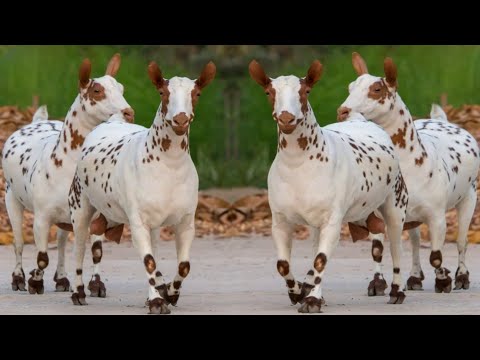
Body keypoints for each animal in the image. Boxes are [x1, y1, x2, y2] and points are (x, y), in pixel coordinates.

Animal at [1, 54, 134, 296]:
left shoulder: (96, 214)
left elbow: (96, 251)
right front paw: (35, 282)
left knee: (62, 243)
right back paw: (19, 277)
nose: (128, 113)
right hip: (11, 198)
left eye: (121, 88)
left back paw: (62, 278)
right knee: (19, 242)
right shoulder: (41, 217)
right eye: (97, 91)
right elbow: (42, 257)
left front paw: (96, 284)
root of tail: (37, 122)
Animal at [69, 60, 216, 314]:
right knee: (79, 246)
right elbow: (148, 262)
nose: (180, 120)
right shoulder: (138, 223)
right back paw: (78, 292)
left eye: (196, 94)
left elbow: (183, 265)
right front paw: (157, 301)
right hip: (80, 206)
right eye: (163, 93)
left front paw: (170, 294)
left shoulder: (186, 222)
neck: (168, 165)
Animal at [248, 59, 408, 312]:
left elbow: (321, 260)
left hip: (395, 202)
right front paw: (298, 292)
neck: (299, 165)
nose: (286, 118)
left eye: (305, 91)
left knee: (395, 243)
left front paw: (312, 300)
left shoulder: (332, 221)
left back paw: (397, 290)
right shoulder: (280, 221)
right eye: (269, 92)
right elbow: (283, 264)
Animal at [340, 52, 478, 292]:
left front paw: (444, 279)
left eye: (377, 89)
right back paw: (414, 276)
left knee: (462, 241)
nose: (343, 111)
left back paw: (461, 276)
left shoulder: (437, 216)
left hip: (469, 197)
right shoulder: (375, 213)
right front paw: (378, 282)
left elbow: (436, 256)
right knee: (414, 242)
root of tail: (442, 120)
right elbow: (377, 250)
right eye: (350, 87)